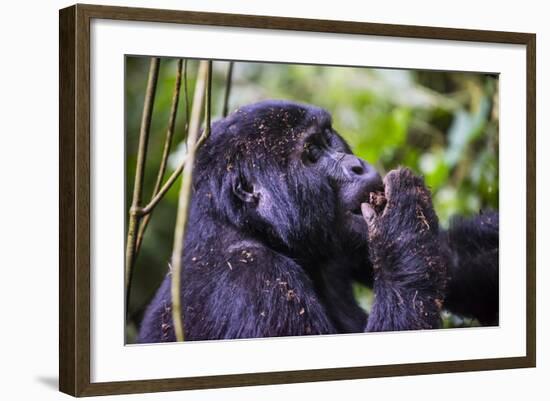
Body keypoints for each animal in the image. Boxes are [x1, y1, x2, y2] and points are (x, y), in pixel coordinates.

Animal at [138, 99, 500, 340]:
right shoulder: (254, 281)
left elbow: (454, 260)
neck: (246, 226)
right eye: (312, 153)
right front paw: (404, 224)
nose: (357, 166)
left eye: (329, 138)